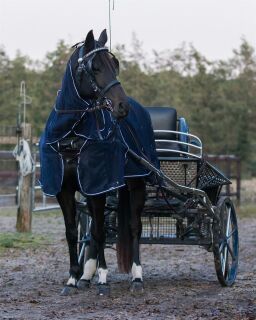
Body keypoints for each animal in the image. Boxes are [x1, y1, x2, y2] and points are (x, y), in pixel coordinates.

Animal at [39, 29, 158, 296]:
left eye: (115, 64)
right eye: (95, 67)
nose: (122, 106)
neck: (71, 135)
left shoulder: (98, 187)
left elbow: (101, 231)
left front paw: (103, 278)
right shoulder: (65, 189)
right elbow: (73, 233)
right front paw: (73, 278)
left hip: (136, 184)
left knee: (134, 227)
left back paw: (137, 276)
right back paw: (86, 275)